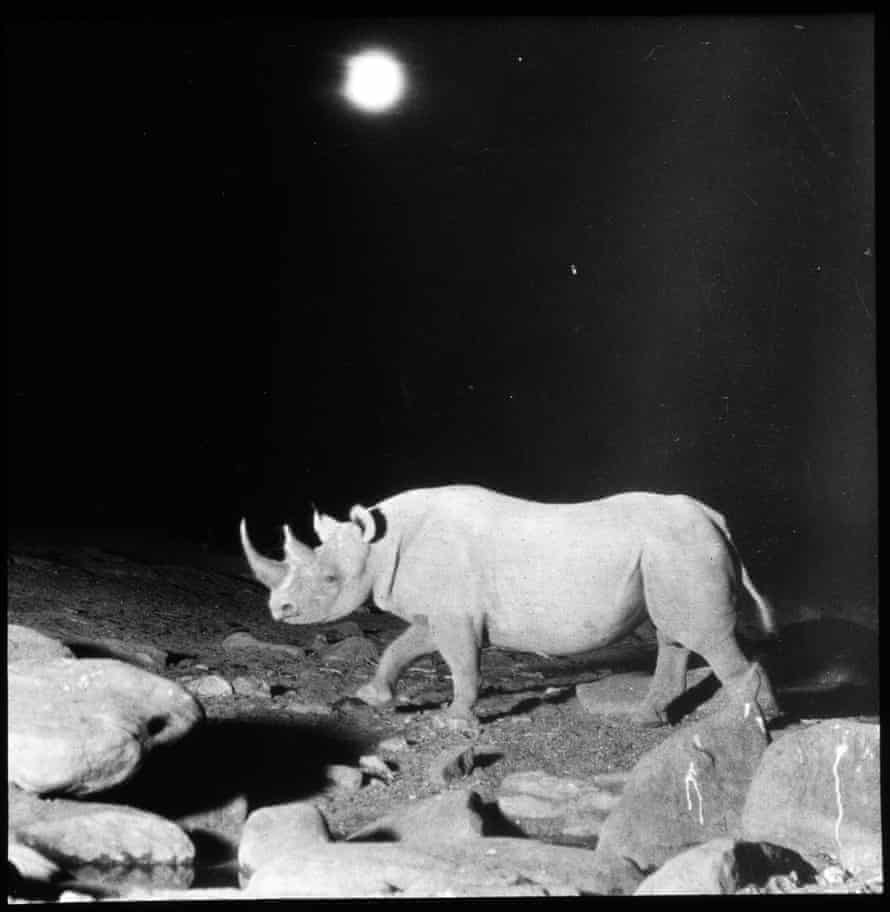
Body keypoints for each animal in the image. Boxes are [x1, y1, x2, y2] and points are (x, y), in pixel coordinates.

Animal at [240, 485, 780, 727]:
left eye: (329, 579)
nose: (280, 610)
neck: (380, 543)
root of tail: (714, 517)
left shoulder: (455, 613)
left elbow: (461, 662)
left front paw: (455, 720)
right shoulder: (438, 610)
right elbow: (402, 648)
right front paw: (373, 697)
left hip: (680, 550)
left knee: (703, 636)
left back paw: (745, 725)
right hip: (670, 553)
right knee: (677, 634)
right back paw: (651, 719)